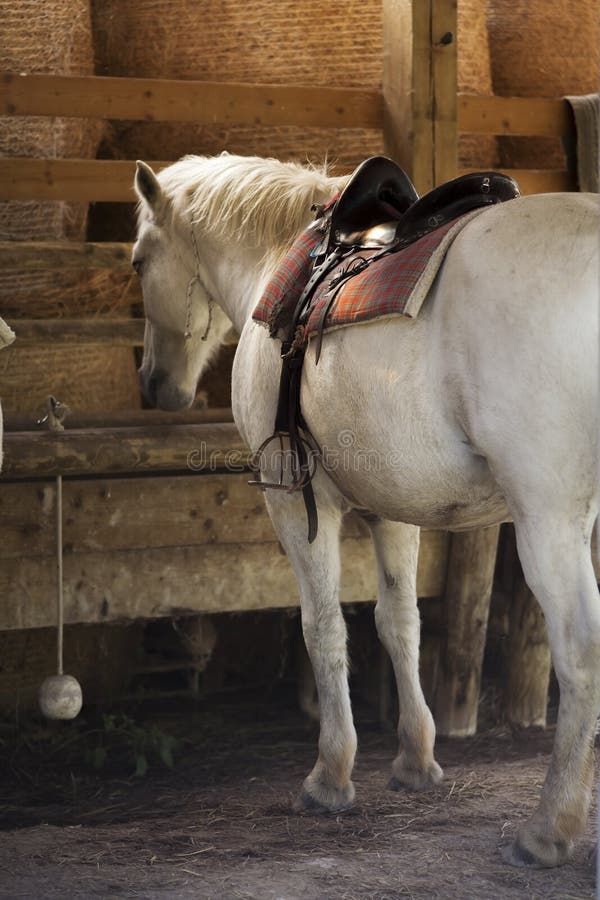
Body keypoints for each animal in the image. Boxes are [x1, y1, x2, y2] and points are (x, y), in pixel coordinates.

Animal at [132, 153, 599, 868]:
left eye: (136, 263)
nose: (156, 385)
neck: (280, 254)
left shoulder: (294, 497)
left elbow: (324, 628)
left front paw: (331, 775)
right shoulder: (396, 509)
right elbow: (399, 623)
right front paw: (416, 759)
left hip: (549, 516)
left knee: (580, 652)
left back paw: (550, 826)